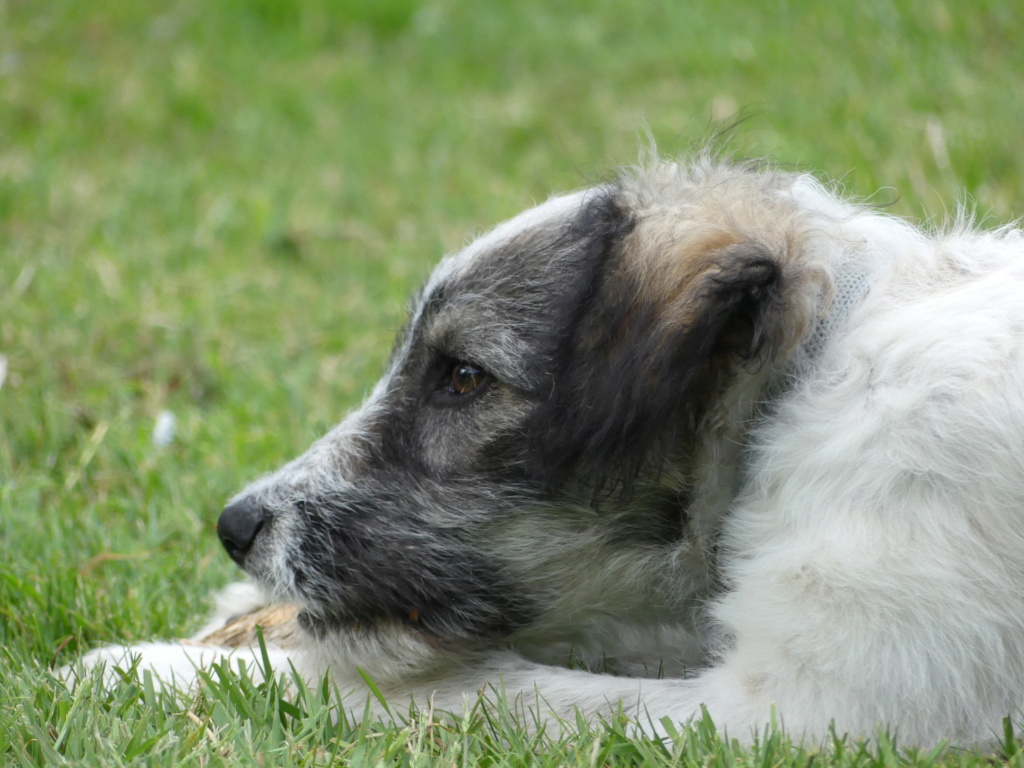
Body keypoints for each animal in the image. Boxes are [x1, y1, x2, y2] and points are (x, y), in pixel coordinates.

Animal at [70, 153, 1024, 749]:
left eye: (462, 377)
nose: (234, 529)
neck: (798, 388)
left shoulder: (797, 718)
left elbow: (476, 686)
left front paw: (153, 670)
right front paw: (234, 623)